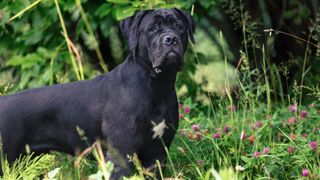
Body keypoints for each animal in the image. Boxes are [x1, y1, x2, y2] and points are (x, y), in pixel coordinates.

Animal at [0, 8, 195, 179]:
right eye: (152, 28)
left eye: (179, 26)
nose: (170, 39)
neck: (156, 84)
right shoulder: (121, 152)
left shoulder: (156, 154)